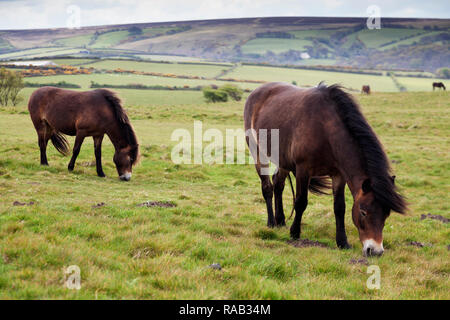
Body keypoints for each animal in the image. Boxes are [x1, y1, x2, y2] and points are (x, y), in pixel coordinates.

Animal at [246, 82, 408, 258]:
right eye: (363, 212)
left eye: (386, 213)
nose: (375, 251)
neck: (325, 129)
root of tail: (258, 91)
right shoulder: (303, 170)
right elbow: (301, 202)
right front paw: (295, 232)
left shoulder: (338, 175)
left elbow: (340, 207)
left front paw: (342, 242)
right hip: (258, 152)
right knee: (267, 187)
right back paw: (271, 222)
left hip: (283, 160)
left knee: (278, 184)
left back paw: (280, 220)